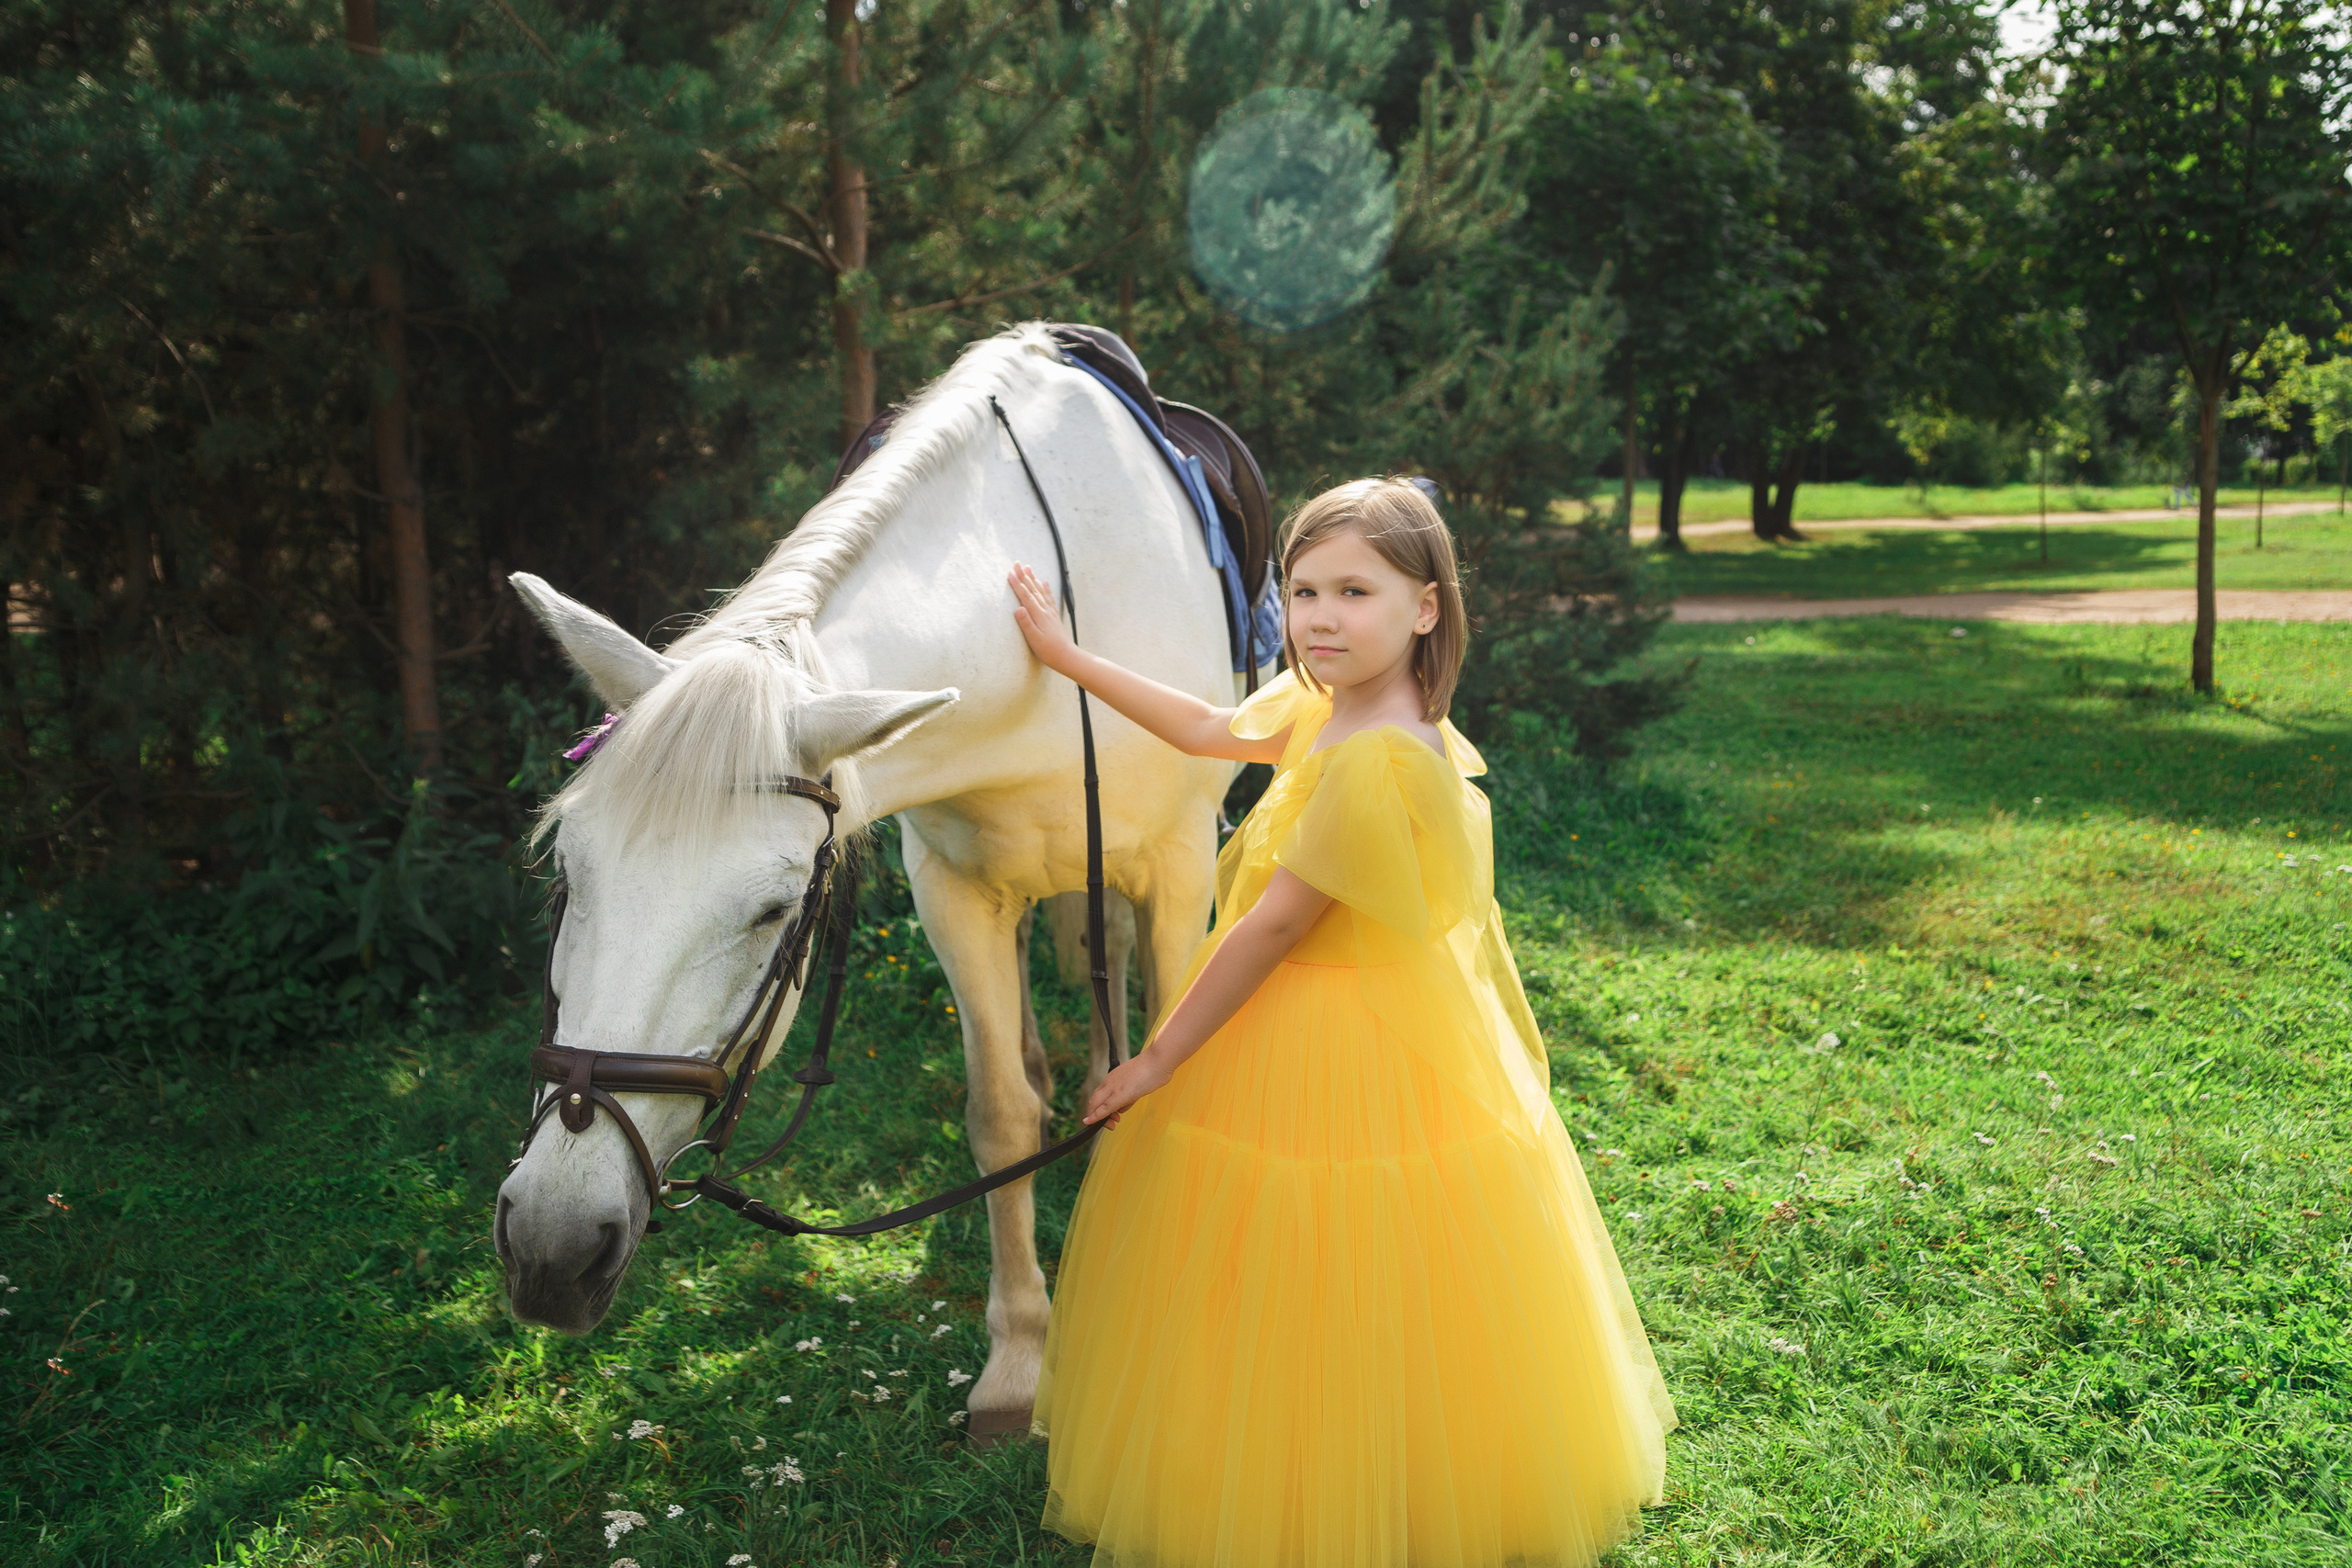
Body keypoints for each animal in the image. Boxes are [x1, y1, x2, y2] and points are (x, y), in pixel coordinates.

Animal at [495, 322, 1251, 1439]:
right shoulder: (953, 890)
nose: (551, 1243)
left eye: (772, 911)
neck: (1044, 648)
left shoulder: (1179, 866)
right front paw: (1018, 1363)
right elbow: (998, 1111)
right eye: (565, 881)